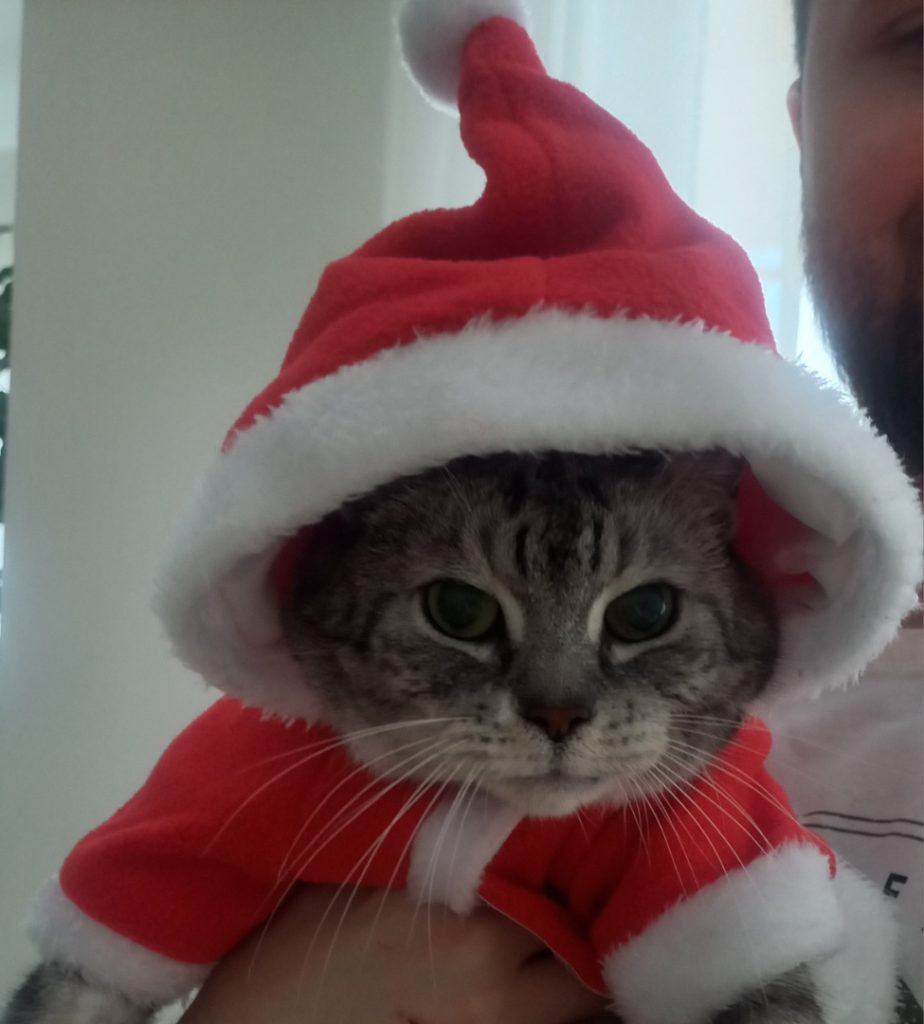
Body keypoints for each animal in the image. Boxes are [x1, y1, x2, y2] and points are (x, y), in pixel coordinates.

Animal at [5, 450, 838, 1024]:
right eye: (458, 610)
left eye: (646, 612)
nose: (558, 714)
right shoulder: (193, 820)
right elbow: (81, 975)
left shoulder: (716, 876)